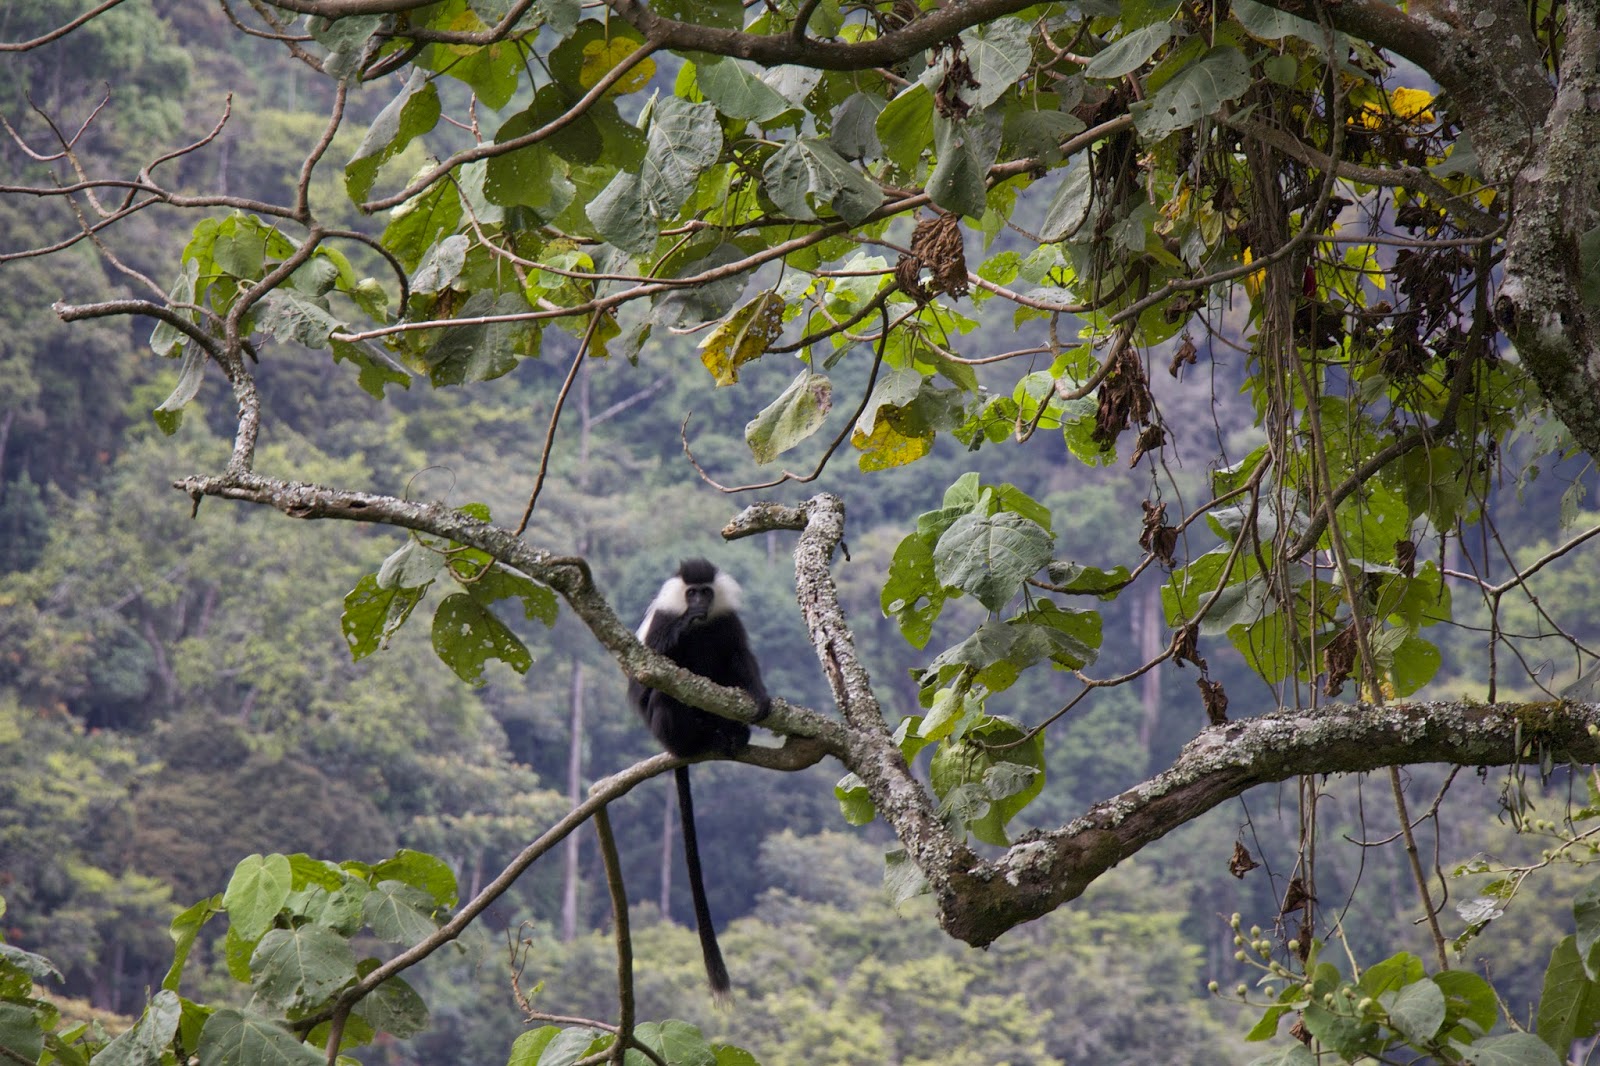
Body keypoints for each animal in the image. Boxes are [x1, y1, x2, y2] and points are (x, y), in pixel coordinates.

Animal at [629, 558, 770, 1003]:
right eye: (691, 594)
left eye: (706, 592)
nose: (699, 605)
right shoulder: (661, 620)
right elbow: (647, 673)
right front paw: (686, 624)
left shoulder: (728, 622)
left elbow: (740, 657)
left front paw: (760, 698)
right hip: (667, 726)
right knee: (663, 696)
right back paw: (699, 737)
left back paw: (732, 735)